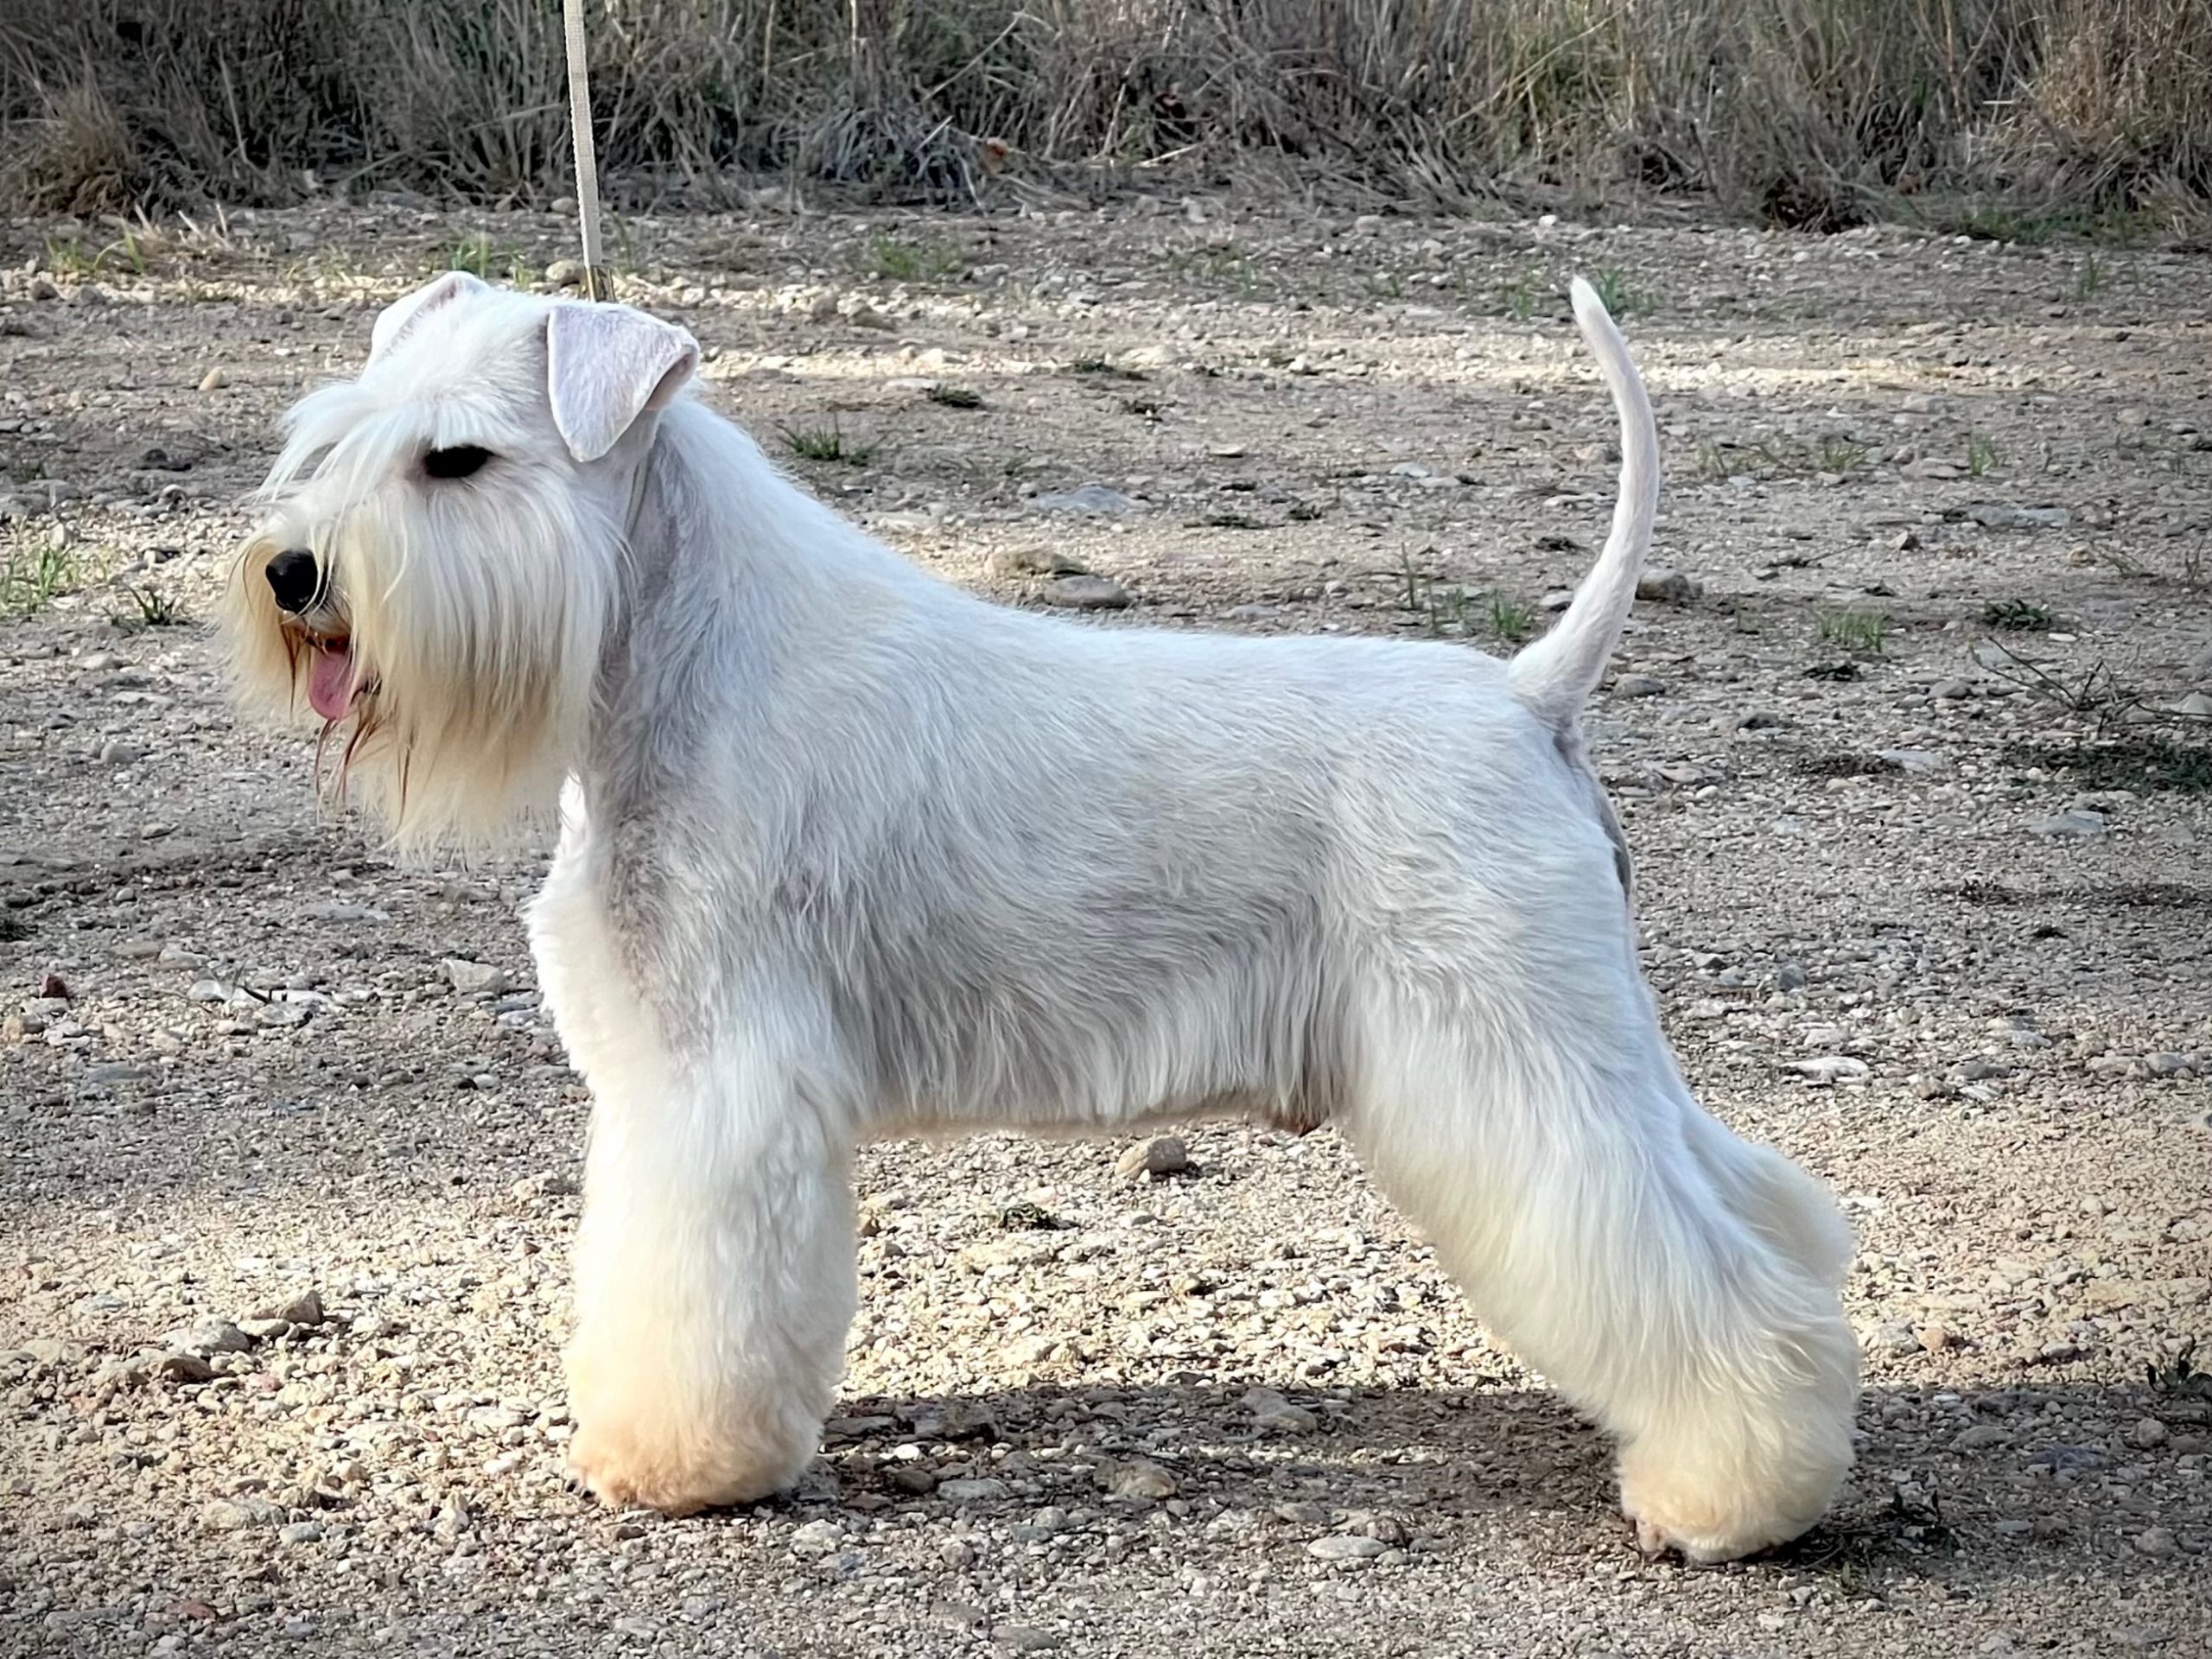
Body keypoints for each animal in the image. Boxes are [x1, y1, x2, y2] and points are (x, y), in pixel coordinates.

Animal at [224, 270, 1858, 1557]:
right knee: (1756, 1209)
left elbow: (702, 1290)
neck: (671, 642)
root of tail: (1526, 696)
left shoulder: (722, 1081)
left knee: (1687, 1272)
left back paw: (1731, 1495)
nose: (295, 574)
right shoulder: (667, 1079)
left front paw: (677, 1464)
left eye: (459, 459)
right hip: (1580, 1035)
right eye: (341, 432)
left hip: (1514, 1059)